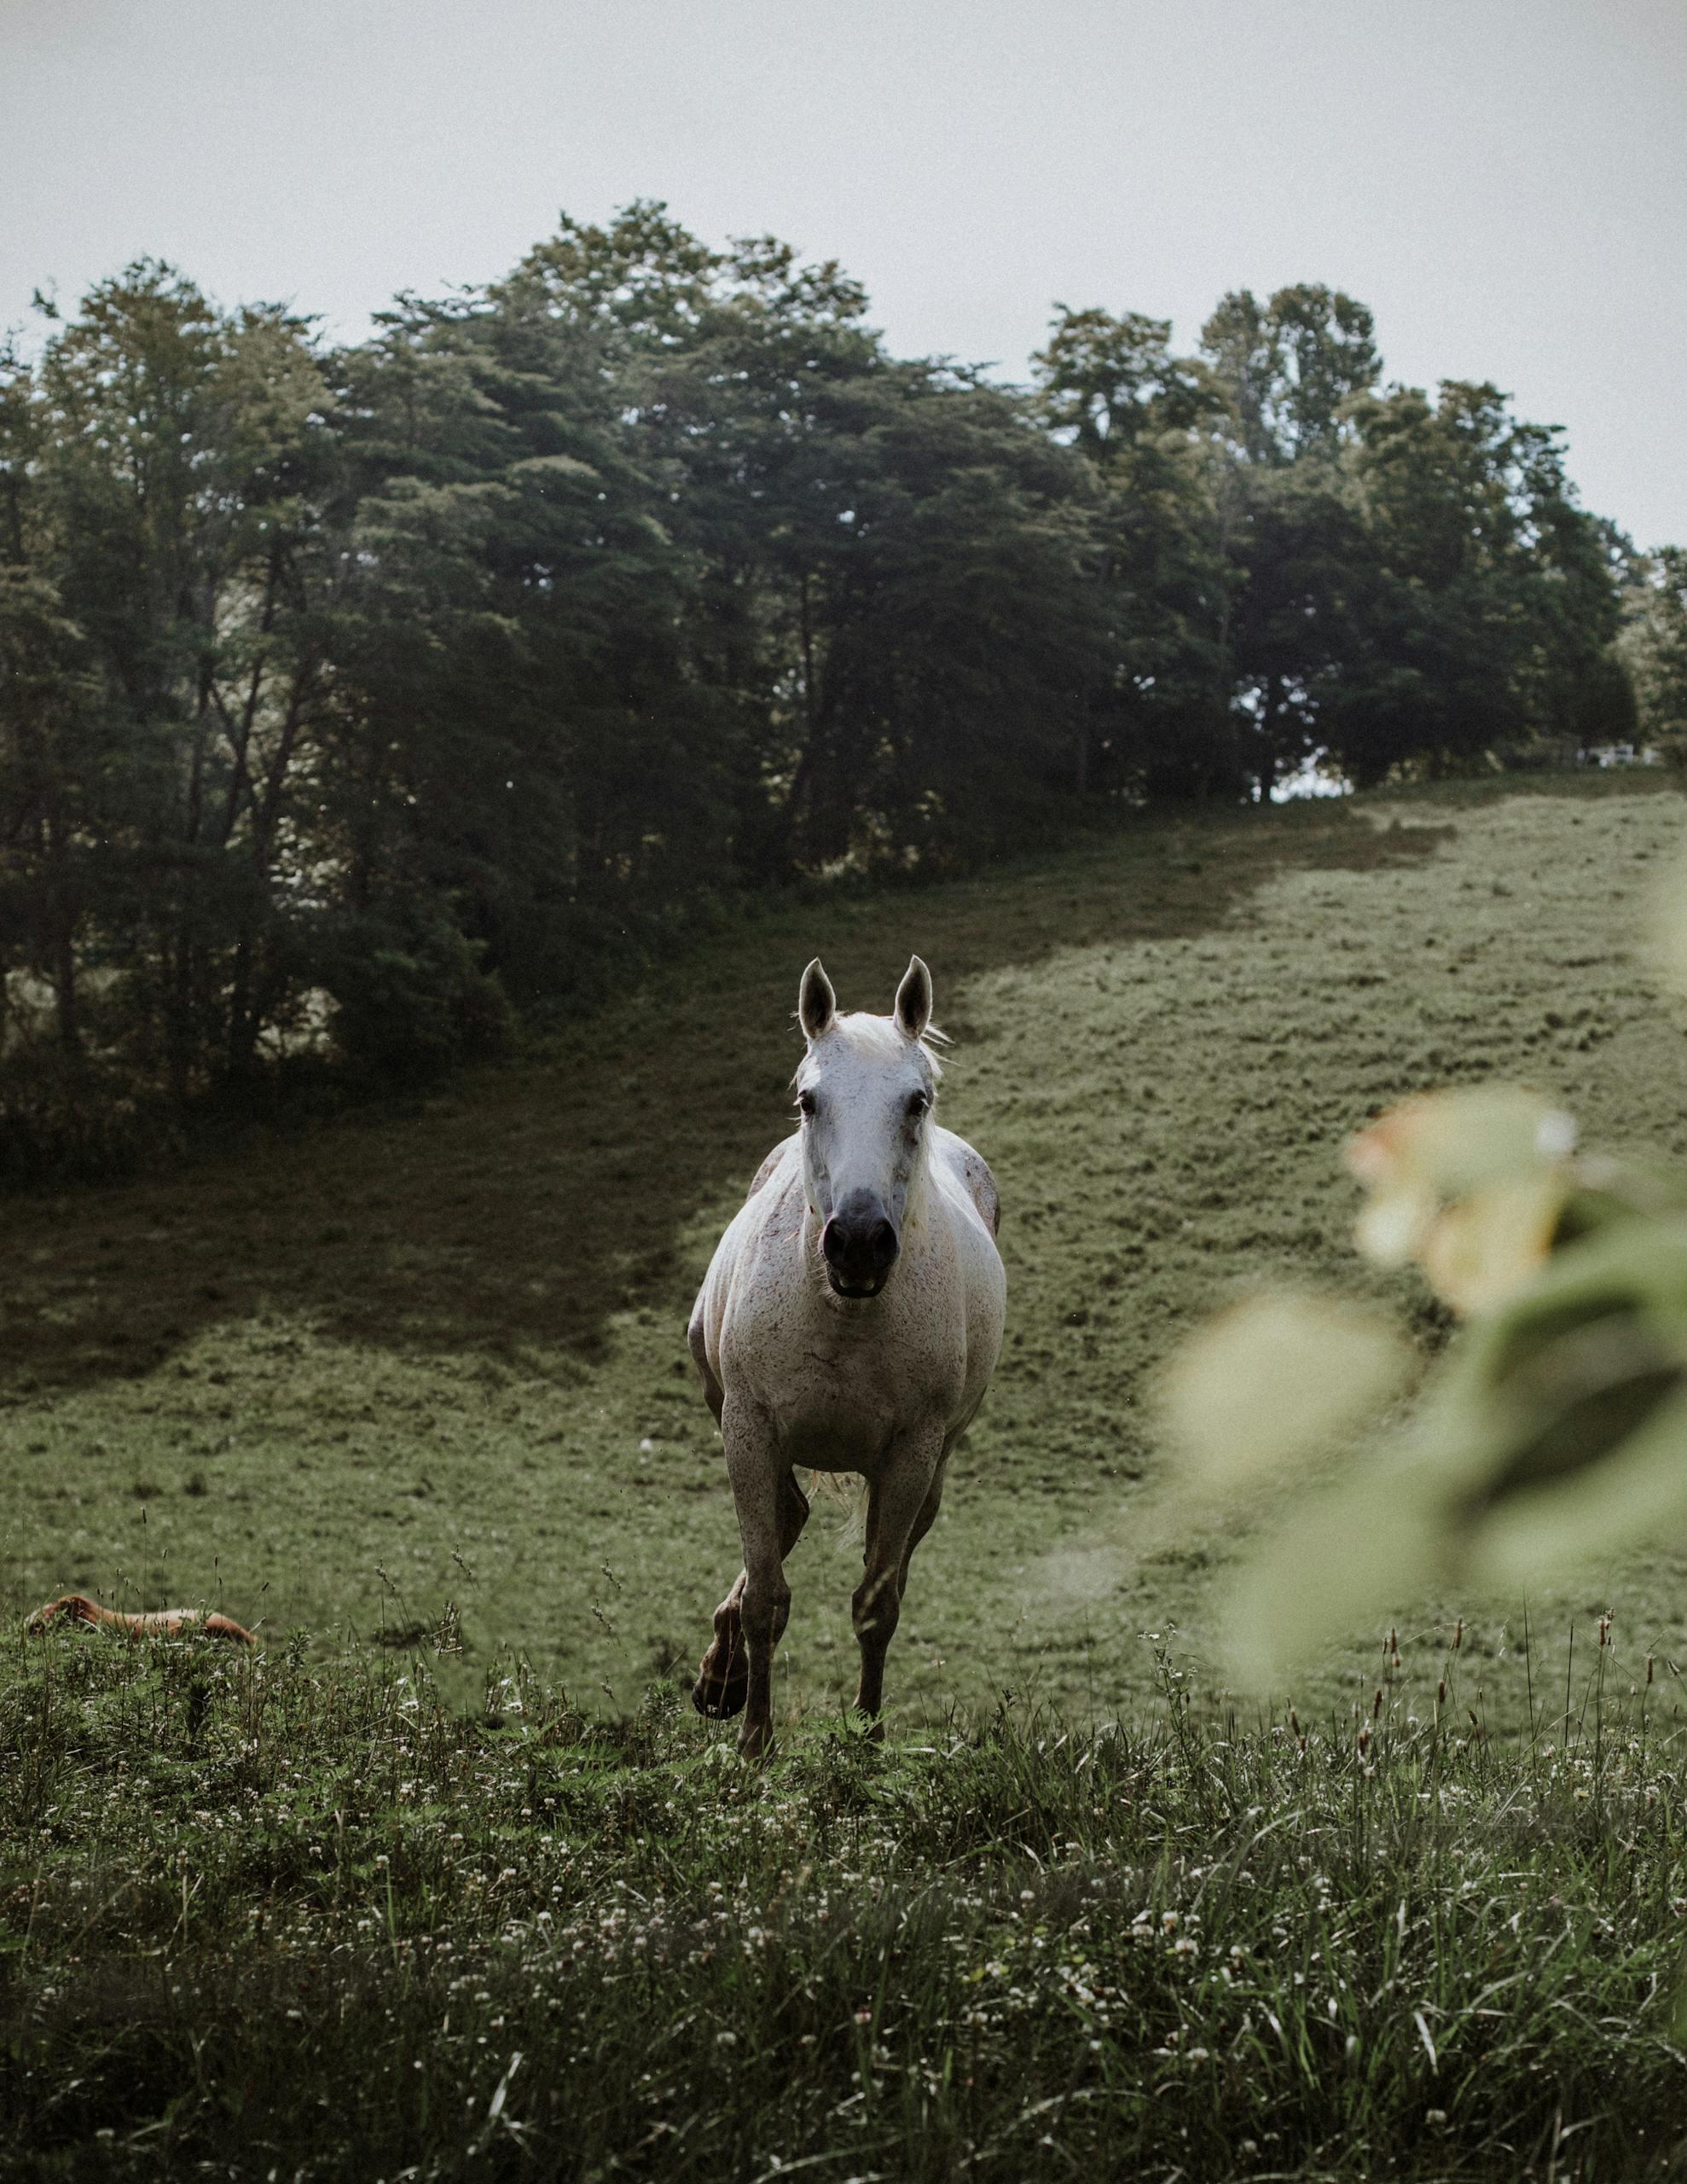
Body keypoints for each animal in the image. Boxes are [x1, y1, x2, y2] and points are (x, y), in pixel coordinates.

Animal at [685, 956, 999, 1756]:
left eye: (916, 1100)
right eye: (808, 1100)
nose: (858, 1242)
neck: (842, 1317)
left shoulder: (910, 1456)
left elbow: (876, 1606)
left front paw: (866, 1735)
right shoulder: (749, 1428)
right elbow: (767, 1596)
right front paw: (753, 1741)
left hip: (931, 1470)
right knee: (786, 1518)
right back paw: (722, 1677)